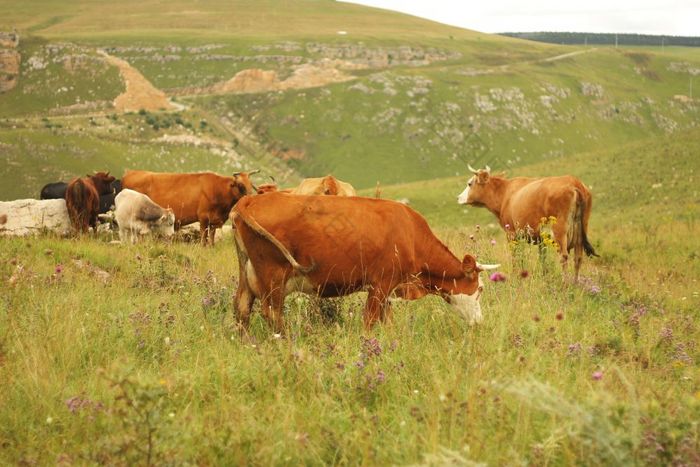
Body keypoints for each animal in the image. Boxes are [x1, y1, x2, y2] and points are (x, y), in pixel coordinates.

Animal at [232, 193, 494, 332]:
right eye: (480, 289)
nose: (480, 323)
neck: (410, 234)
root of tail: (251, 199)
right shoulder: (380, 284)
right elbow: (370, 321)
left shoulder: (389, 289)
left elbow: (388, 322)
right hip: (273, 275)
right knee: (272, 313)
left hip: (248, 274)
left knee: (242, 307)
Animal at [456, 165, 600, 282]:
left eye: (469, 184)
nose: (458, 197)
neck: (505, 194)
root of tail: (574, 182)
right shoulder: (542, 239)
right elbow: (542, 259)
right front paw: (544, 277)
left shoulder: (511, 233)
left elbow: (516, 257)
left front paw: (515, 276)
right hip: (581, 229)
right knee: (578, 258)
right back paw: (575, 284)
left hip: (559, 229)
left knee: (564, 257)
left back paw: (565, 284)